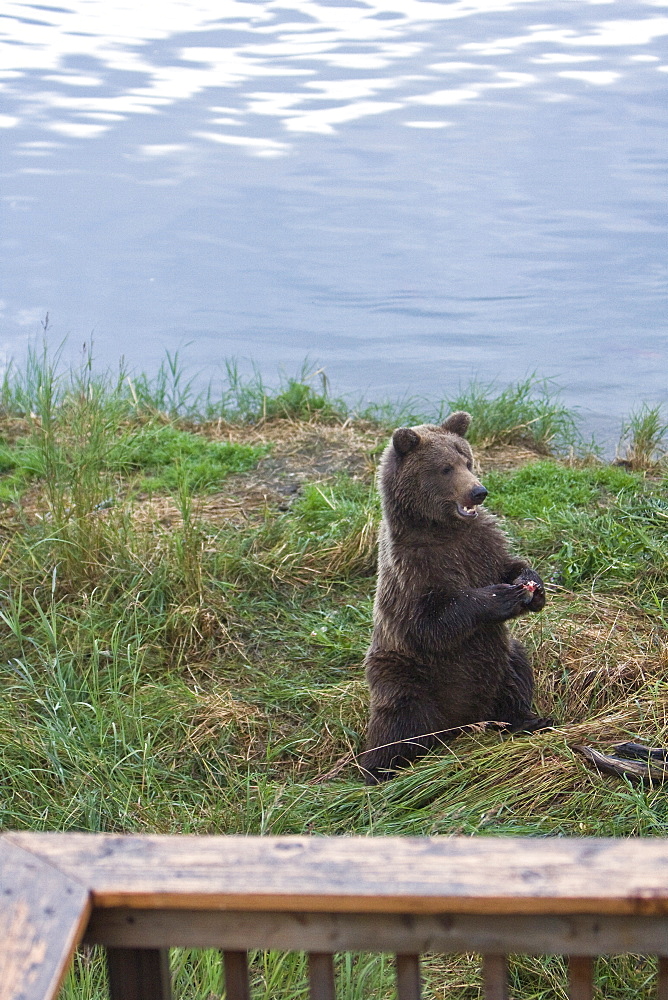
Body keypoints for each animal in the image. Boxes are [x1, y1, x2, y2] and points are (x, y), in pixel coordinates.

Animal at [360, 410, 548, 784]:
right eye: (445, 468)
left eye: (467, 460)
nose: (478, 492)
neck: (443, 529)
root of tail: (460, 723)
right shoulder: (414, 567)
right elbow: (430, 621)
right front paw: (499, 597)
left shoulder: (482, 545)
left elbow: (509, 565)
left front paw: (530, 584)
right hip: (405, 675)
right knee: (398, 722)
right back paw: (381, 769)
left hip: (500, 663)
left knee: (516, 672)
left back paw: (530, 720)